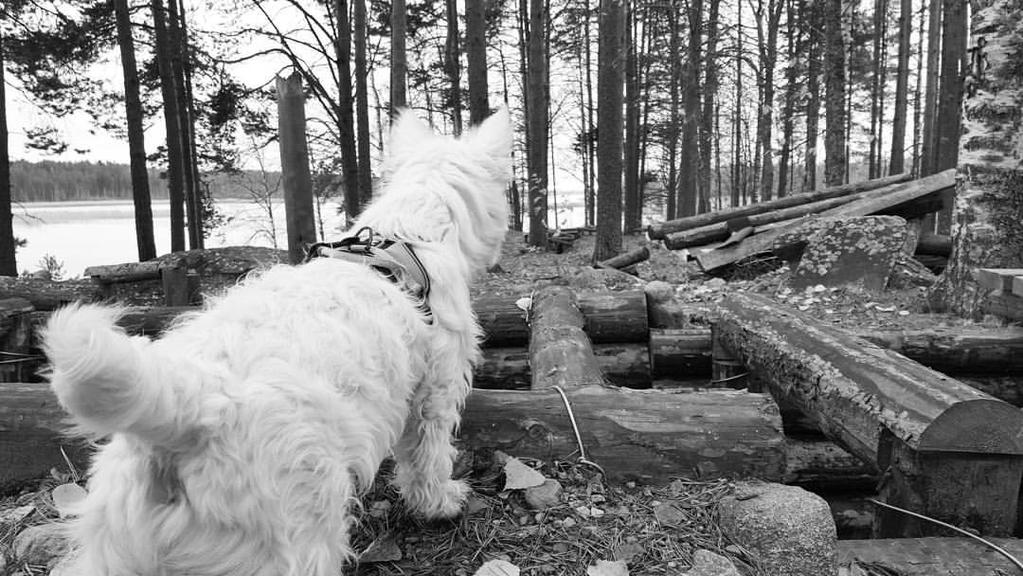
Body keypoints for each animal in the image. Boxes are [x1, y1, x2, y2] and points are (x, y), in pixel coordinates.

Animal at [41, 109, 511, 576]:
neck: (410, 234)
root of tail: (183, 415)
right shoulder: (435, 391)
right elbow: (428, 456)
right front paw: (443, 502)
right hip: (293, 537)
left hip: (113, 550)